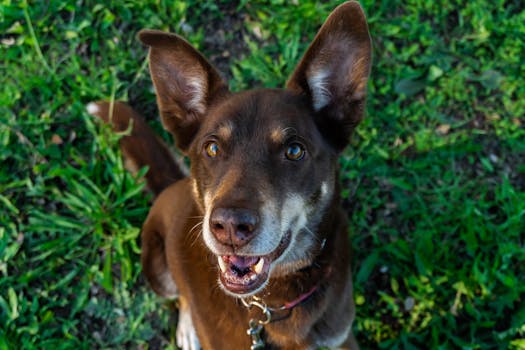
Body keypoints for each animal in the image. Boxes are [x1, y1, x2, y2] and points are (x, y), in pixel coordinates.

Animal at [88, 2, 370, 348]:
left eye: (294, 150)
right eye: (211, 148)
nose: (231, 227)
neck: (269, 304)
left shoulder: (339, 338)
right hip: (156, 267)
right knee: (180, 296)